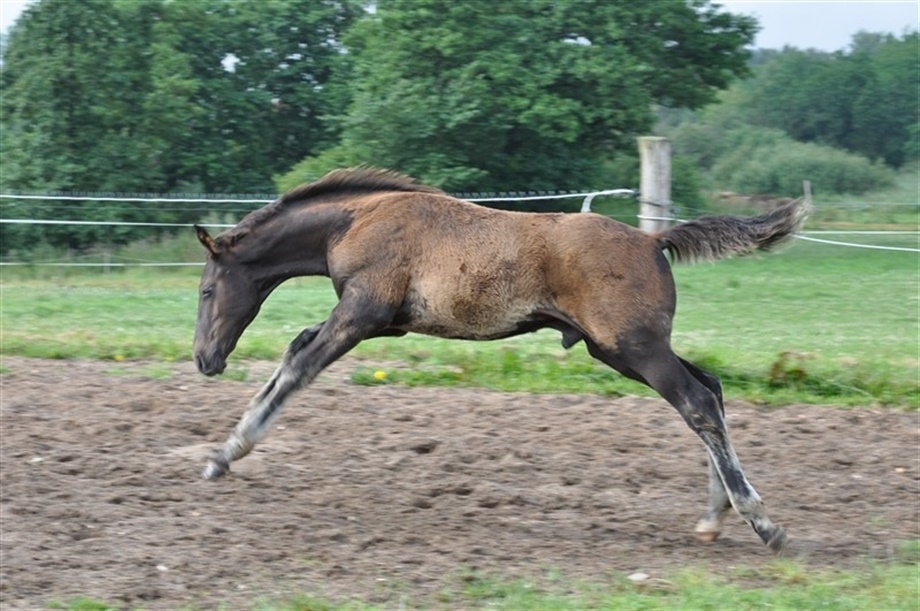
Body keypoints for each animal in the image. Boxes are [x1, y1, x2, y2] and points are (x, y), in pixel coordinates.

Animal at [193, 166, 807, 552]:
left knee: (698, 401)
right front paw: (223, 452)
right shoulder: (379, 322)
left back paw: (762, 522)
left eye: (205, 290)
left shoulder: (362, 313)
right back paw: (712, 520)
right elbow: (296, 348)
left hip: (633, 348)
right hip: (625, 350)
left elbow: (300, 367)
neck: (358, 221)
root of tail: (654, 241)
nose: (205, 359)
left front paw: (225, 455)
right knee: (712, 391)